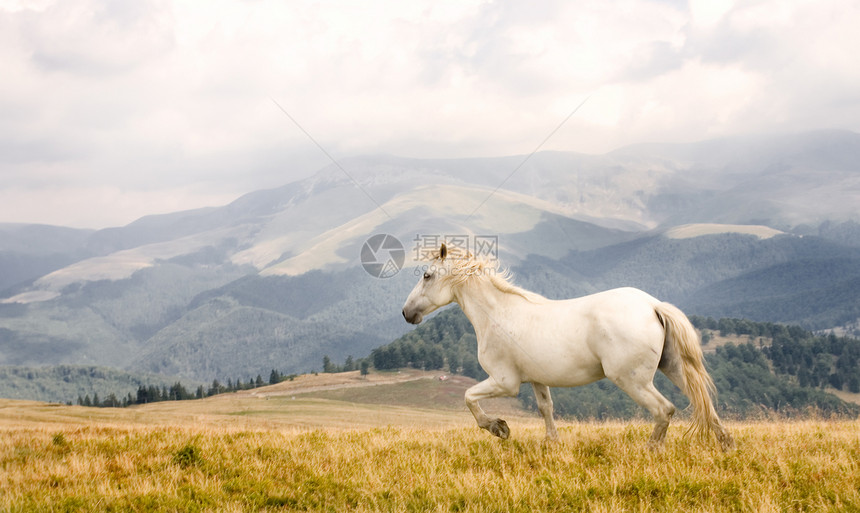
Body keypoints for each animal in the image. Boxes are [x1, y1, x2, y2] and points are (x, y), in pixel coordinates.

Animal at [402, 243, 732, 448]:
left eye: (427, 275)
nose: (407, 313)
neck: (497, 315)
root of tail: (653, 305)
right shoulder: (536, 379)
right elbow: (545, 408)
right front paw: (551, 443)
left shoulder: (504, 382)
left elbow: (469, 397)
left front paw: (500, 428)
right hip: (673, 368)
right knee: (704, 404)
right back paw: (726, 445)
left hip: (631, 380)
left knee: (665, 410)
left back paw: (650, 451)